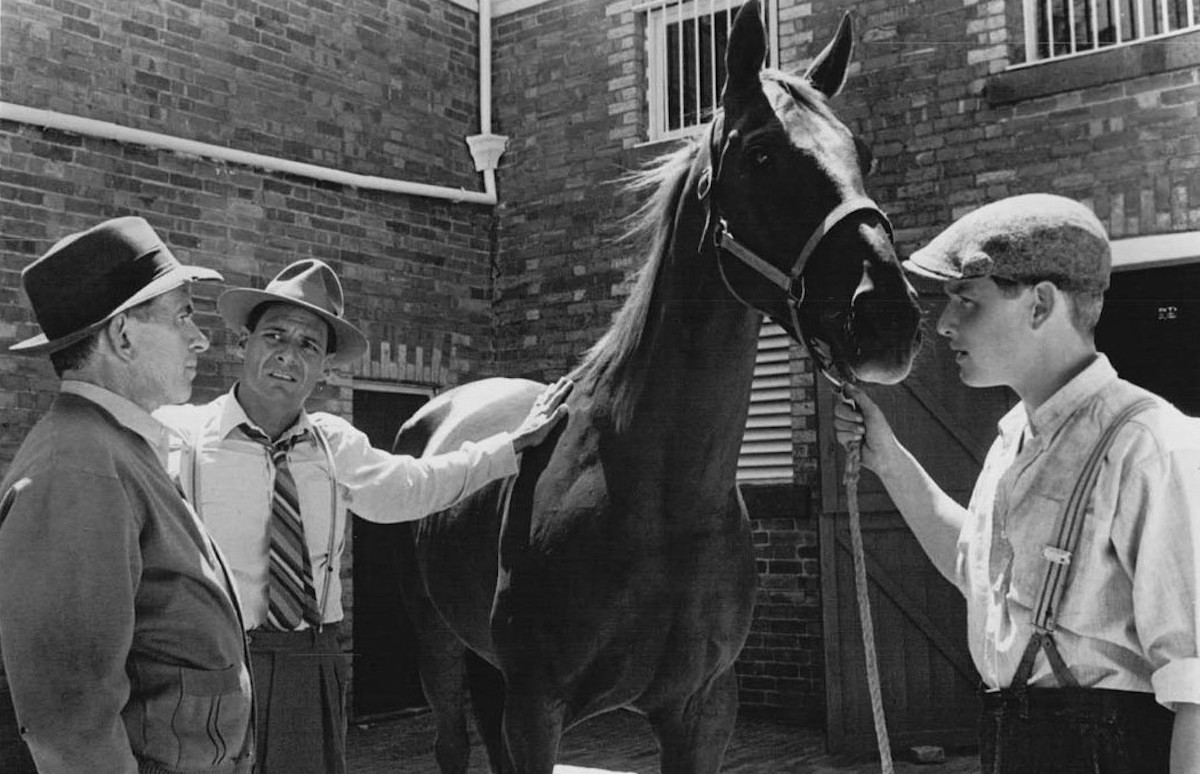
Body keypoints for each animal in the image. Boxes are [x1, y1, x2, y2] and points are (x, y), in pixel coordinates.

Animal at [391, 3, 916, 768]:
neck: (657, 494)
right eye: (761, 154)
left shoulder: (702, 709)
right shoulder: (537, 709)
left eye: (864, 155)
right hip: (437, 643)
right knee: (451, 743)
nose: (889, 317)